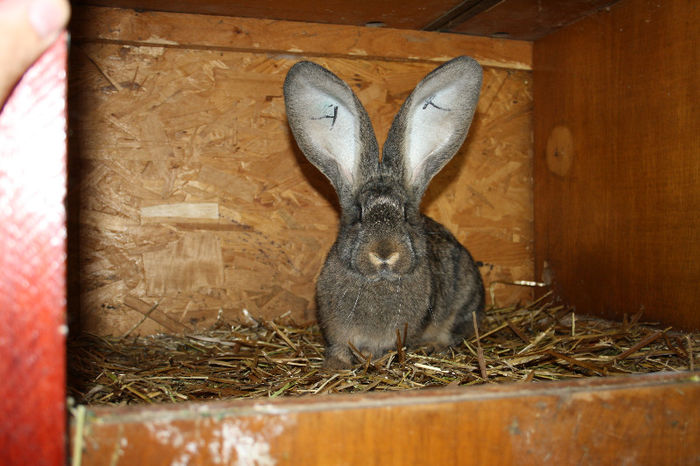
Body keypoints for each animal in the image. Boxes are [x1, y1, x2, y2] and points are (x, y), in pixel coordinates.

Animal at [282, 56, 484, 368]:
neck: (380, 281)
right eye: (359, 214)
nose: (385, 252)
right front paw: (335, 366)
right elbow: (340, 348)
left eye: (406, 214)